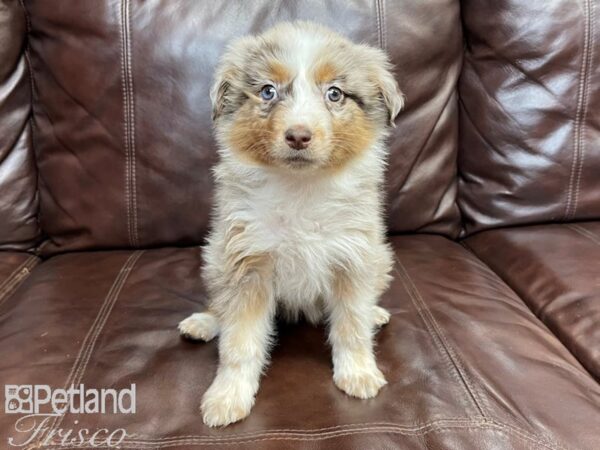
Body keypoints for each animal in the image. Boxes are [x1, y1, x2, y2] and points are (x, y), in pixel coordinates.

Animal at [178, 21, 404, 428]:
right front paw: (227, 396)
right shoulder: (247, 261)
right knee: (221, 305)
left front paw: (359, 372)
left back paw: (375, 314)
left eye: (335, 94)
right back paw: (204, 322)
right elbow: (239, 341)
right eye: (268, 91)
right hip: (216, 258)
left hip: (380, 261)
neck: (301, 187)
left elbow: (351, 326)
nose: (298, 135)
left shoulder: (354, 257)